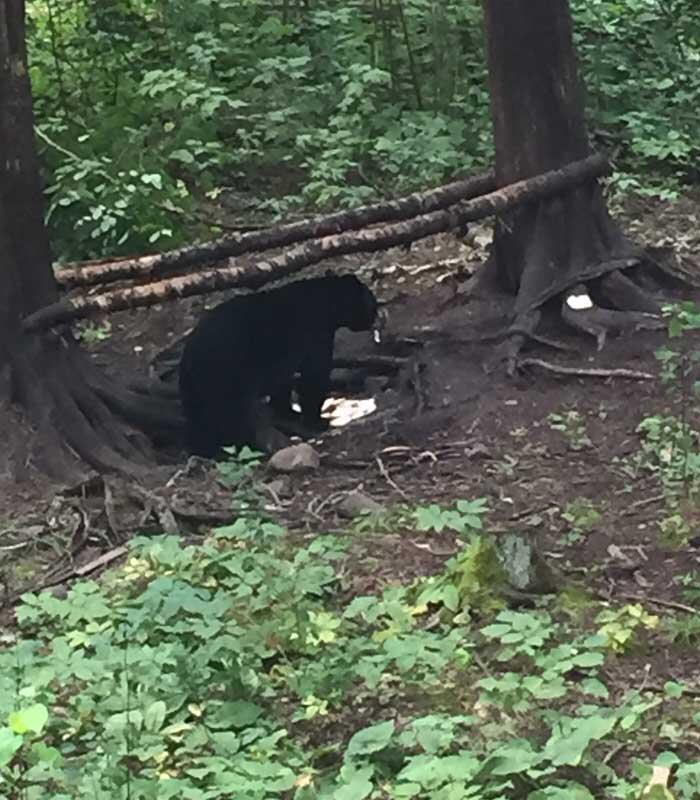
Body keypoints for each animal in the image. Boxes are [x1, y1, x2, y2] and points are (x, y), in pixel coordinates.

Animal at [179, 274, 378, 456]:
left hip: (194, 387)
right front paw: (317, 422)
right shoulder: (317, 333)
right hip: (227, 373)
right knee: (233, 411)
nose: (376, 314)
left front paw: (289, 413)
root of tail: (190, 352)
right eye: (371, 300)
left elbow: (282, 386)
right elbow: (313, 379)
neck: (327, 301)